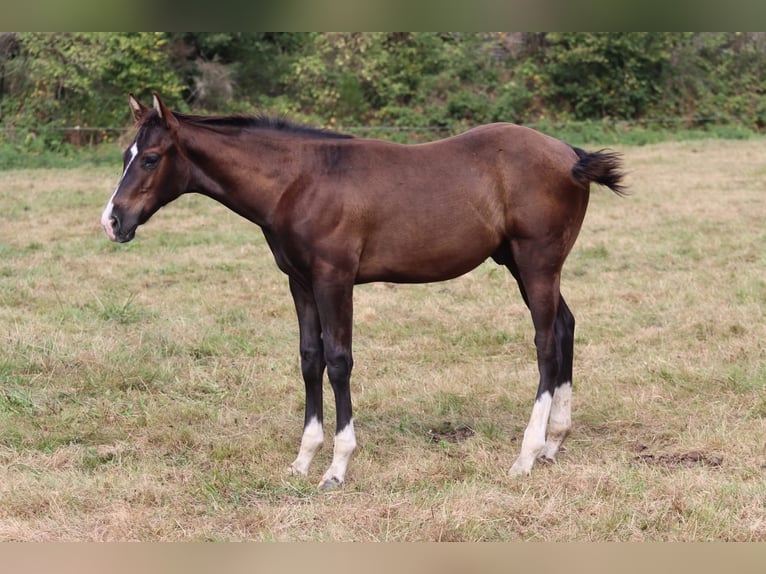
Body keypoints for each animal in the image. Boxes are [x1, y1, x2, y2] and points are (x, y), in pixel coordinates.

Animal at [101, 93, 625, 490]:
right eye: (125, 156)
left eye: (151, 158)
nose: (112, 222)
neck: (299, 182)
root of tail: (571, 156)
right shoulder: (300, 282)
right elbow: (309, 357)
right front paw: (303, 459)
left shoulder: (334, 279)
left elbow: (338, 361)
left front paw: (336, 468)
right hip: (520, 264)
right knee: (565, 326)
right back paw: (554, 443)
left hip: (537, 262)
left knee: (545, 342)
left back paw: (526, 455)